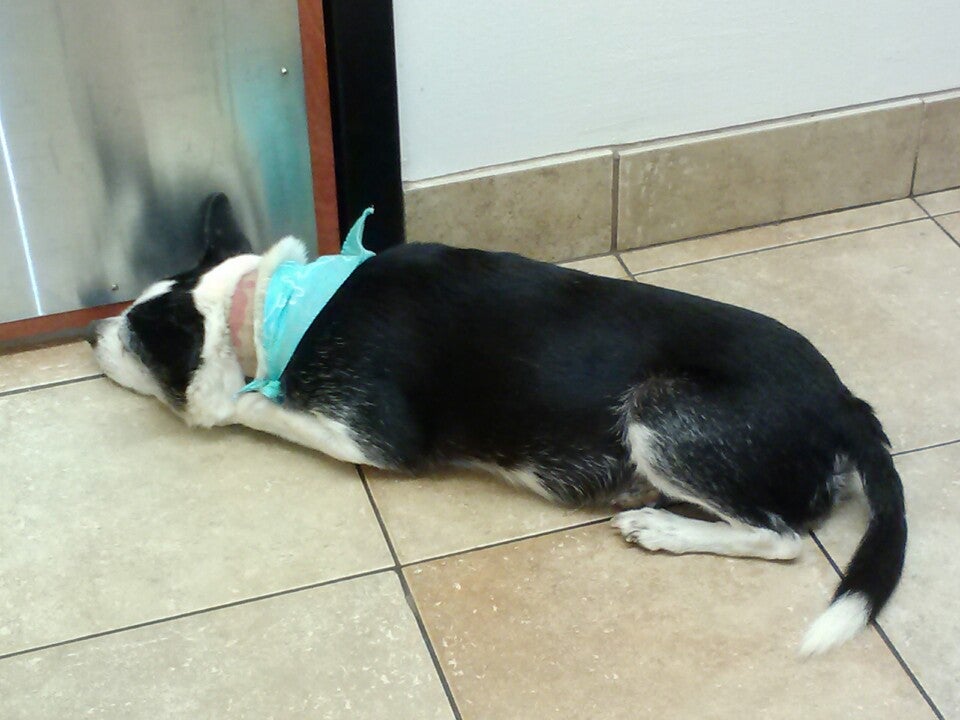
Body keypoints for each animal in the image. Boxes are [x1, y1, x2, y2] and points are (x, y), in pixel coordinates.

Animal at [88, 193, 906, 655]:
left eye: (132, 334)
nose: (90, 332)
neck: (270, 304)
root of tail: (846, 403)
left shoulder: (370, 433)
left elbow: (258, 406)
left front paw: (230, 399)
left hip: (662, 412)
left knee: (783, 538)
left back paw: (663, 527)